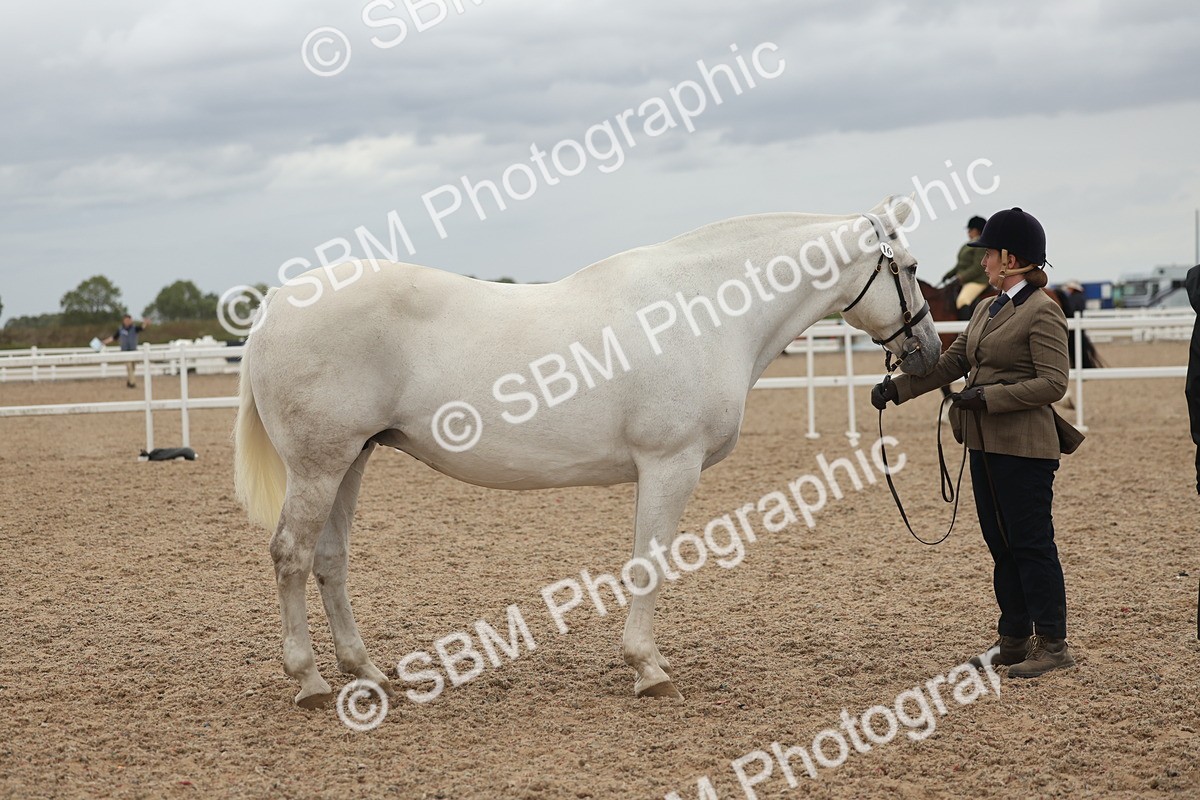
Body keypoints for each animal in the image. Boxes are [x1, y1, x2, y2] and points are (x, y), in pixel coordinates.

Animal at [234, 197, 941, 708]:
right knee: (291, 555)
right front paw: (648, 669)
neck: (702, 309)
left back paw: (367, 673)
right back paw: (311, 682)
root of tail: (275, 308)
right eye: (908, 269)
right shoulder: (669, 465)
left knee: (329, 560)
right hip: (319, 466)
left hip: (350, 460)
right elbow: (649, 564)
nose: (929, 354)